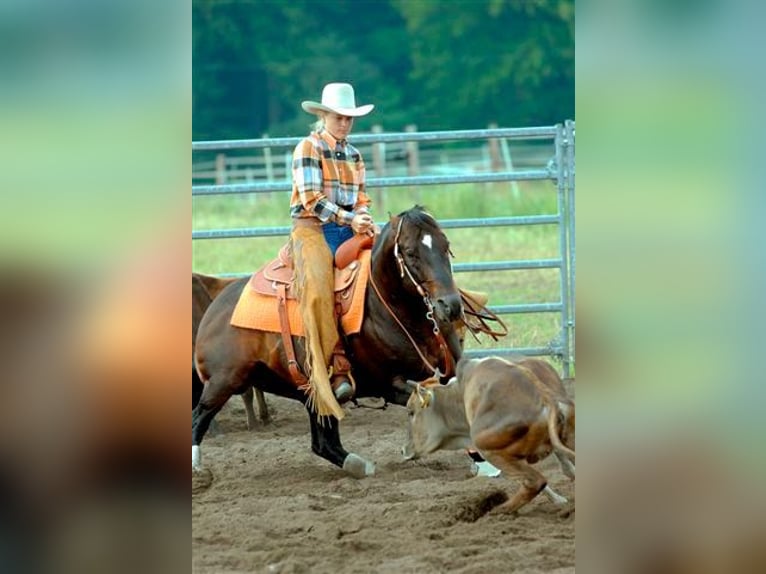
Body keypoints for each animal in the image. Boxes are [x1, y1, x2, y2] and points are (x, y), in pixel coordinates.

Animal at [195, 206, 464, 476]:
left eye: (446, 245)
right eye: (410, 252)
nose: (450, 305)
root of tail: (213, 309)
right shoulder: (390, 384)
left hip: (311, 392)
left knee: (323, 443)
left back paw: (358, 465)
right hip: (223, 382)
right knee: (199, 417)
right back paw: (198, 469)